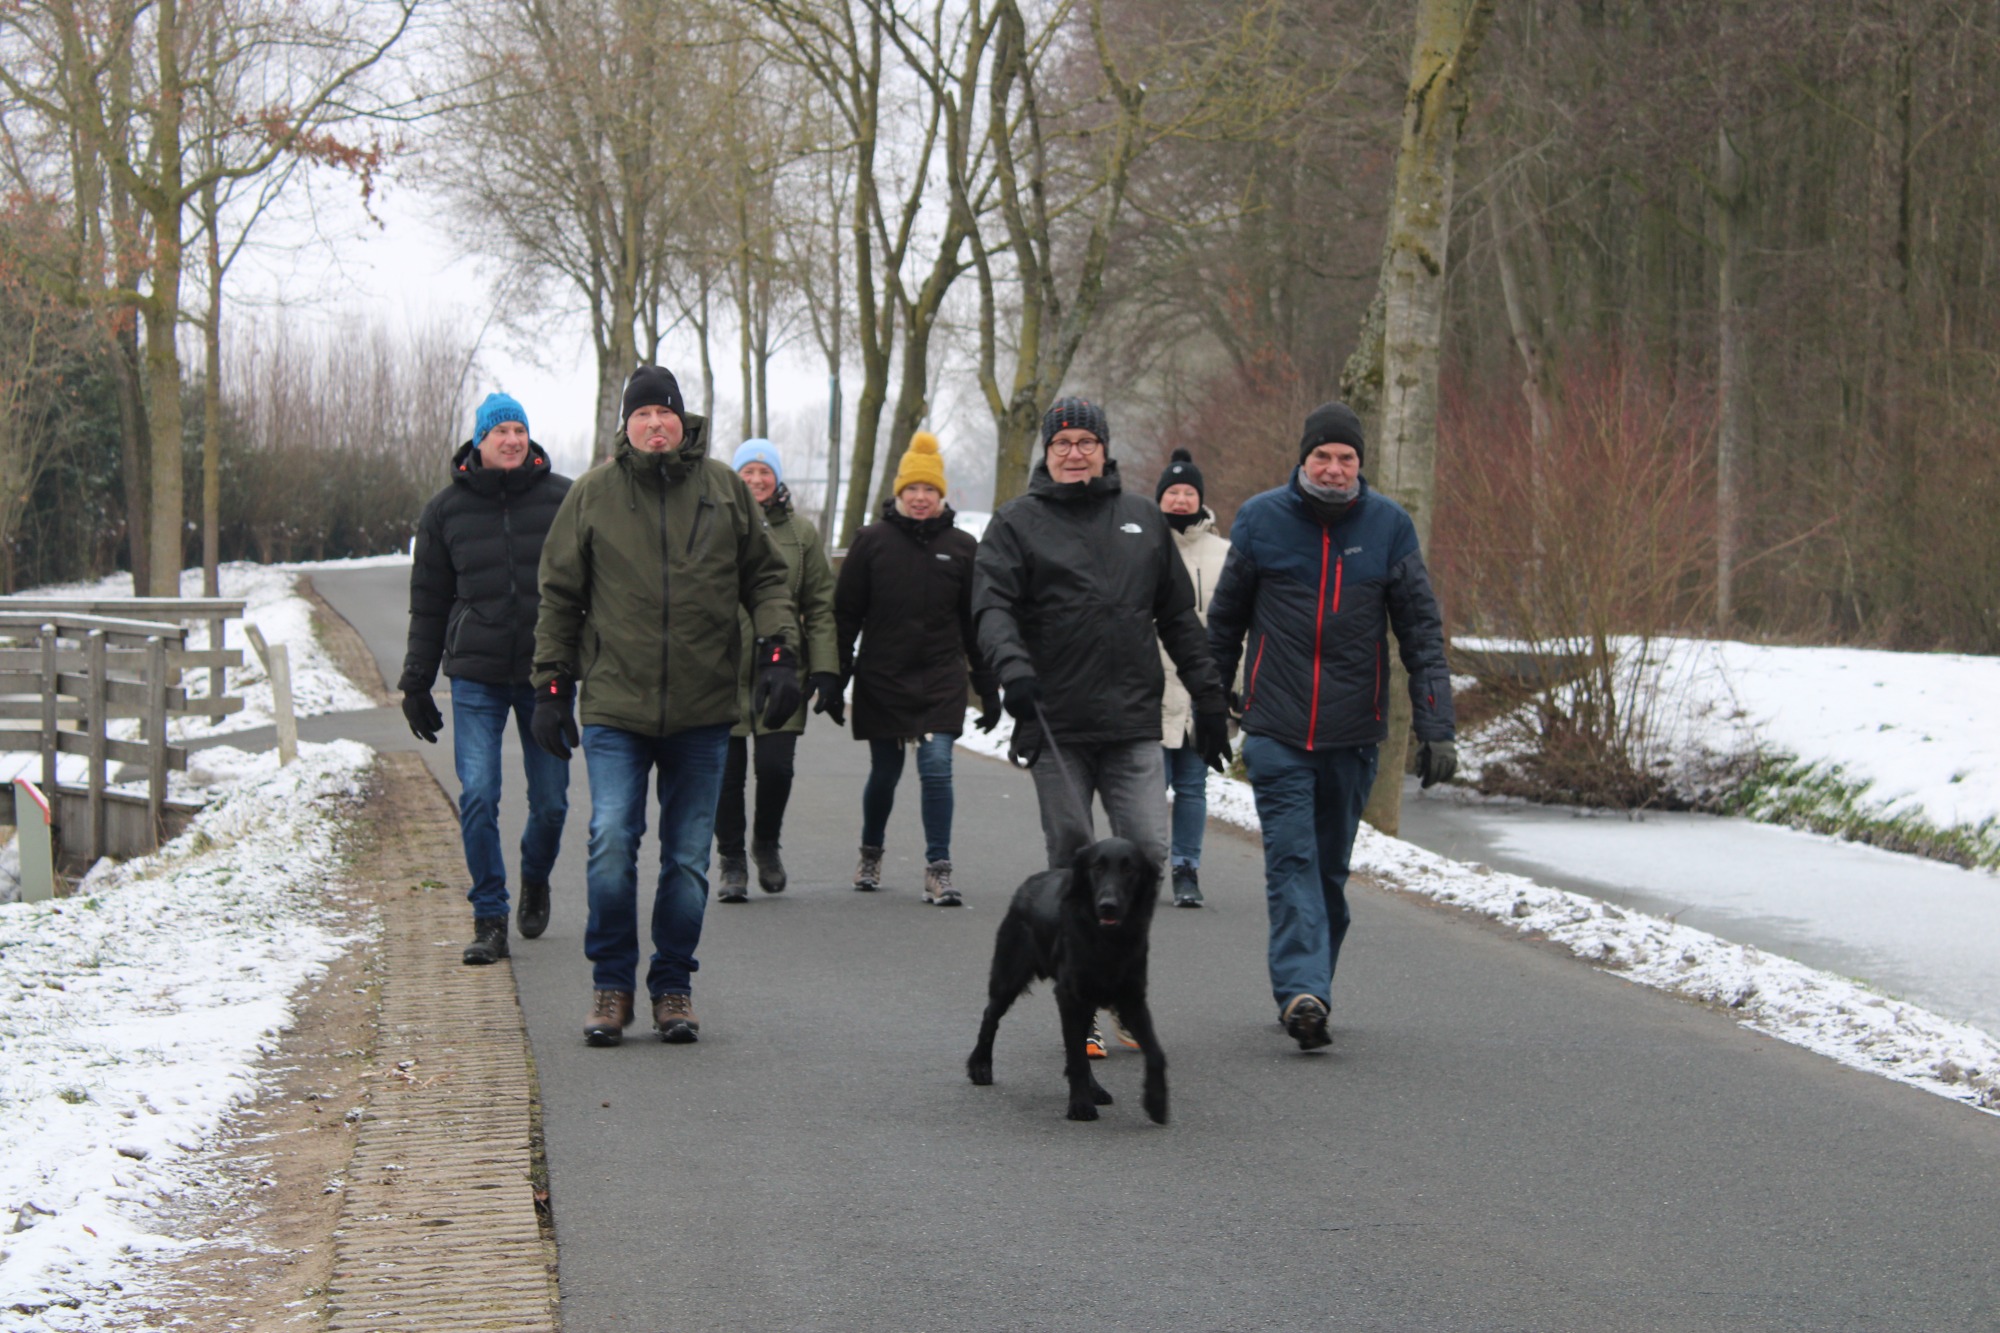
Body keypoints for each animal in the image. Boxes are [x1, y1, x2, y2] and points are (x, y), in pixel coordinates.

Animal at [966, 838, 1168, 1124]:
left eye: (1129, 870)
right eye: (1097, 867)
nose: (1108, 905)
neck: (1107, 939)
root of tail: (1027, 884)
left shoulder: (1132, 997)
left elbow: (1155, 1053)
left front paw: (1156, 1102)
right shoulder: (1069, 996)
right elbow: (1077, 1058)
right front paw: (1081, 1105)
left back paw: (1096, 1089)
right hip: (1009, 976)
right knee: (990, 1016)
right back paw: (980, 1066)